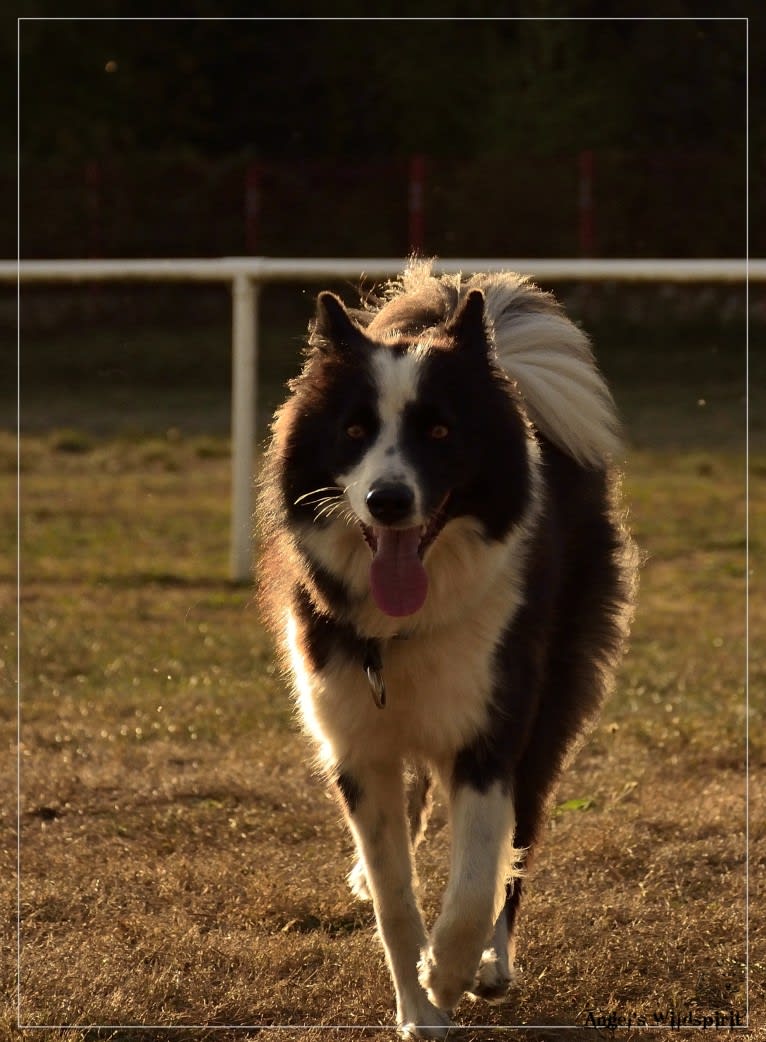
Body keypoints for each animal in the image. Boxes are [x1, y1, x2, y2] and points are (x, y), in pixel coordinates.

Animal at [256, 260, 633, 1033]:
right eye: (354, 429)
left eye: (438, 430)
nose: (389, 501)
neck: (401, 625)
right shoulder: (357, 746)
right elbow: (396, 898)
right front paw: (419, 1010)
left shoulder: (491, 728)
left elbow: (477, 879)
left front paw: (450, 972)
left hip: (552, 699)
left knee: (522, 832)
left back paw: (493, 963)